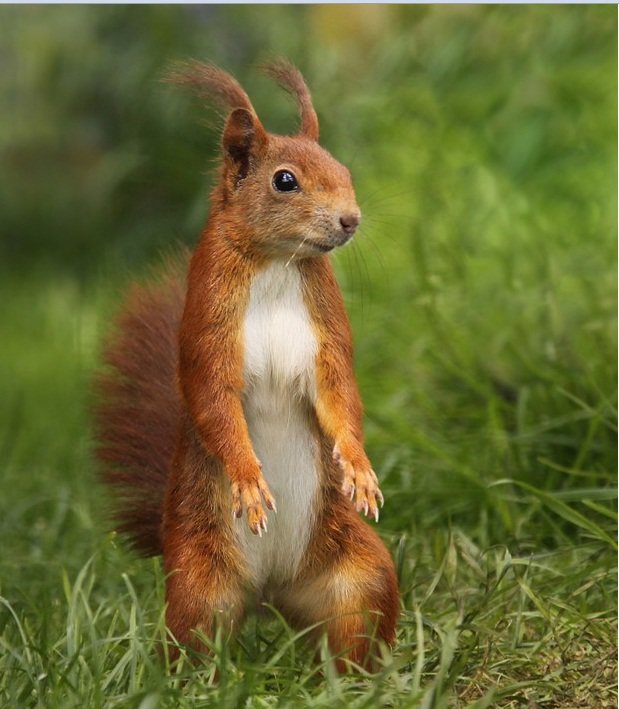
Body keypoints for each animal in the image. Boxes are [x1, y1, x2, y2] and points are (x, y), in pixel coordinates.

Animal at [93, 59, 399, 671]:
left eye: (344, 169)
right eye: (284, 180)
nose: (350, 220)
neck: (278, 264)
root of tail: (270, 593)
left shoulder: (325, 337)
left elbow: (338, 396)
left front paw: (358, 469)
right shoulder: (209, 329)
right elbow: (213, 402)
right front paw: (249, 479)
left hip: (357, 570)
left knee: (356, 619)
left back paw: (361, 677)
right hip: (198, 584)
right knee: (190, 639)